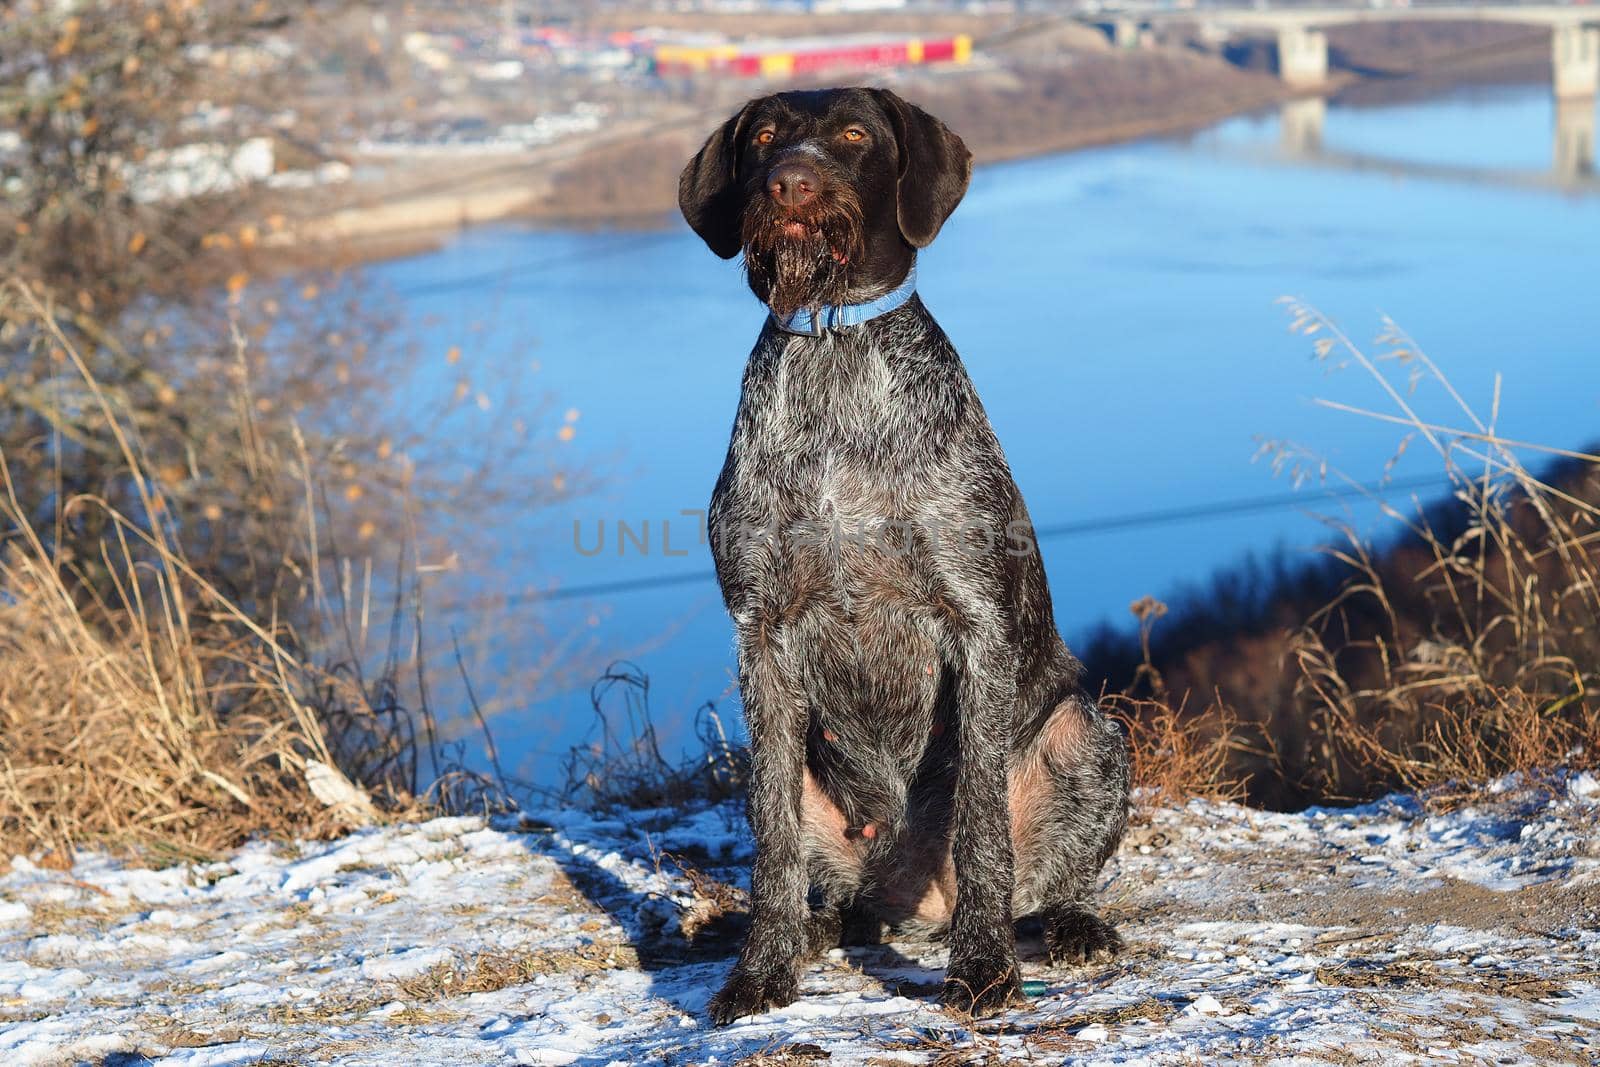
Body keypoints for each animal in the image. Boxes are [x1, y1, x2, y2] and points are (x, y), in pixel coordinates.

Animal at [681, 87, 1132, 1023]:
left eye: (855, 135)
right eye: (764, 137)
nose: (790, 182)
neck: (832, 351)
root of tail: (912, 907)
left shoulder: (974, 623)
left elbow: (982, 828)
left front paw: (984, 967)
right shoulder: (760, 638)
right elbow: (773, 844)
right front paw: (762, 969)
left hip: (1088, 733)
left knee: (1045, 884)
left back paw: (1069, 924)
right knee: (833, 895)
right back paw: (807, 930)